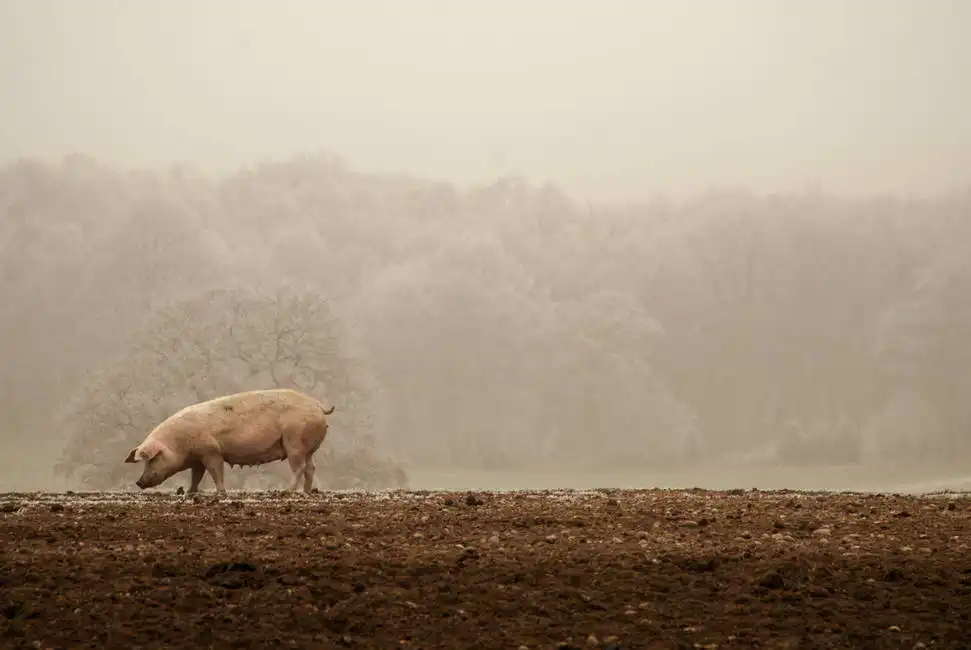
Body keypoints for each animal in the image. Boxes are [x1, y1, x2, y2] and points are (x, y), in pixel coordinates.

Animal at [124, 388, 336, 494]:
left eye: (151, 459)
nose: (139, 482)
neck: (179, 443)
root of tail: (317, 405)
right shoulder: (198, 458)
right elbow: (196, 476)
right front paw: (189, 493)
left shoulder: (211, 451)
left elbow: (216, 472)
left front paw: (220, 494)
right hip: (306, 447)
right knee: (311, 468)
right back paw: (306, 493)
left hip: (294, 441)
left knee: (299, 468)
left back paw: (286, 492)